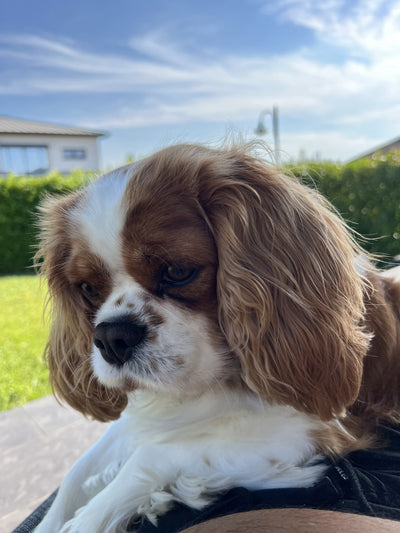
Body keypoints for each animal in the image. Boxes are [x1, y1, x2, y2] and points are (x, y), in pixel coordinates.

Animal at [33, 143, 400, 528]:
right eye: (88, 288)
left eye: (178, 271)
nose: (112, 337)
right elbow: (77, 472)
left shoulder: (313, 430)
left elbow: (151, 454)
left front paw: (97, 515)